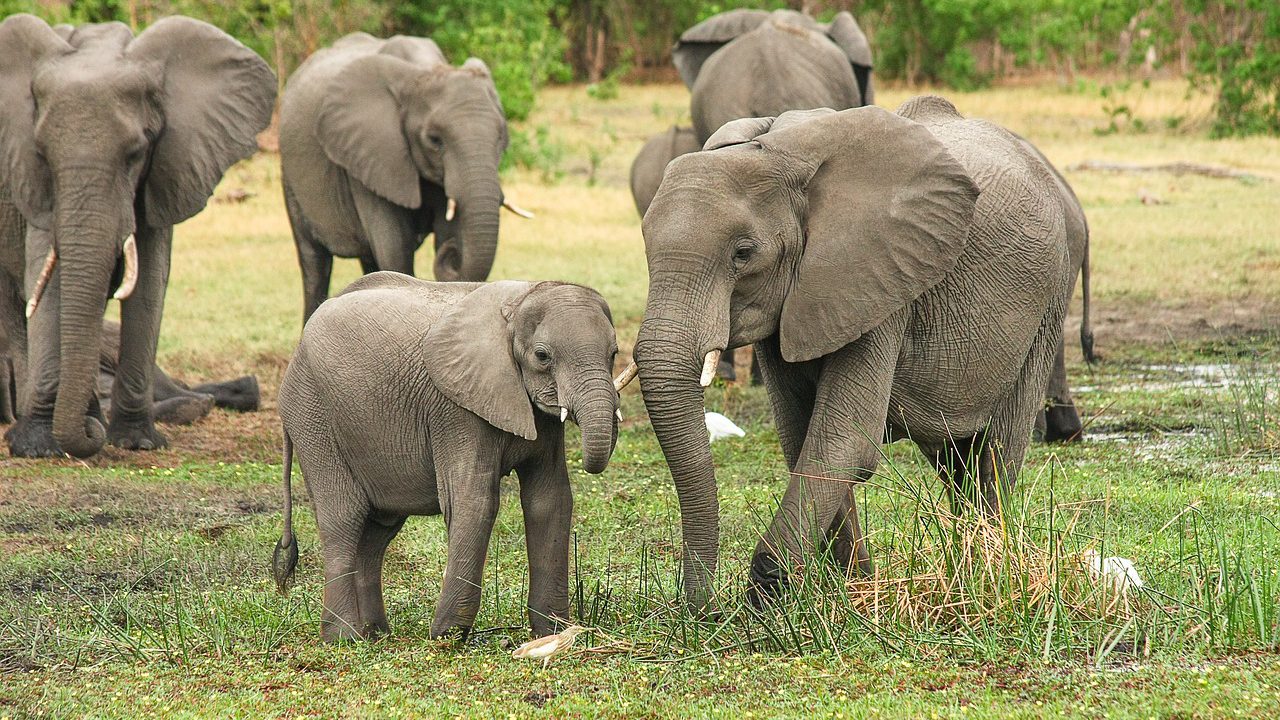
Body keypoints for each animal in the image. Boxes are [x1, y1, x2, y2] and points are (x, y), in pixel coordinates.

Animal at [0, 16, 277, 456]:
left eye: (135, 154)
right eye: (42, 154)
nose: (89, 436)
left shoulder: (166, 167)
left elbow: (148, 283)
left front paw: (137, 442)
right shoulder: (32, 185)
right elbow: (48, 279)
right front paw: (38, 447)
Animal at [271, 271, 629, 635]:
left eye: (614, 353)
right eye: (542, 356)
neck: (519, 302)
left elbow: (550, 500)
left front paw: (554, 631)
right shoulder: (456, 409)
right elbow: (474, 500)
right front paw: (447, 635)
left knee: (378, 530)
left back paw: (375, 634)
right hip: (312, 415)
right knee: (344, 518)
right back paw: (344, 637)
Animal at [280, 33, 529, 322]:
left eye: (501, 136)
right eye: (434, 140)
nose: (452, 253)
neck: (423, 70)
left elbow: (444, 231)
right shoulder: (371, 155)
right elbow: (394, 247)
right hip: (290, 177)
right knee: (315, 263)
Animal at [624, 98, 1075, 607]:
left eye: (743, 253)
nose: (705, 612)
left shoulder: (880, 279)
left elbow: (843, 441)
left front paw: (770, 598)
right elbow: (801, 437)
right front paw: (852, 593)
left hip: (1048, 302)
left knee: (995, 453)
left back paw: (987, 576)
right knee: (954, 460)